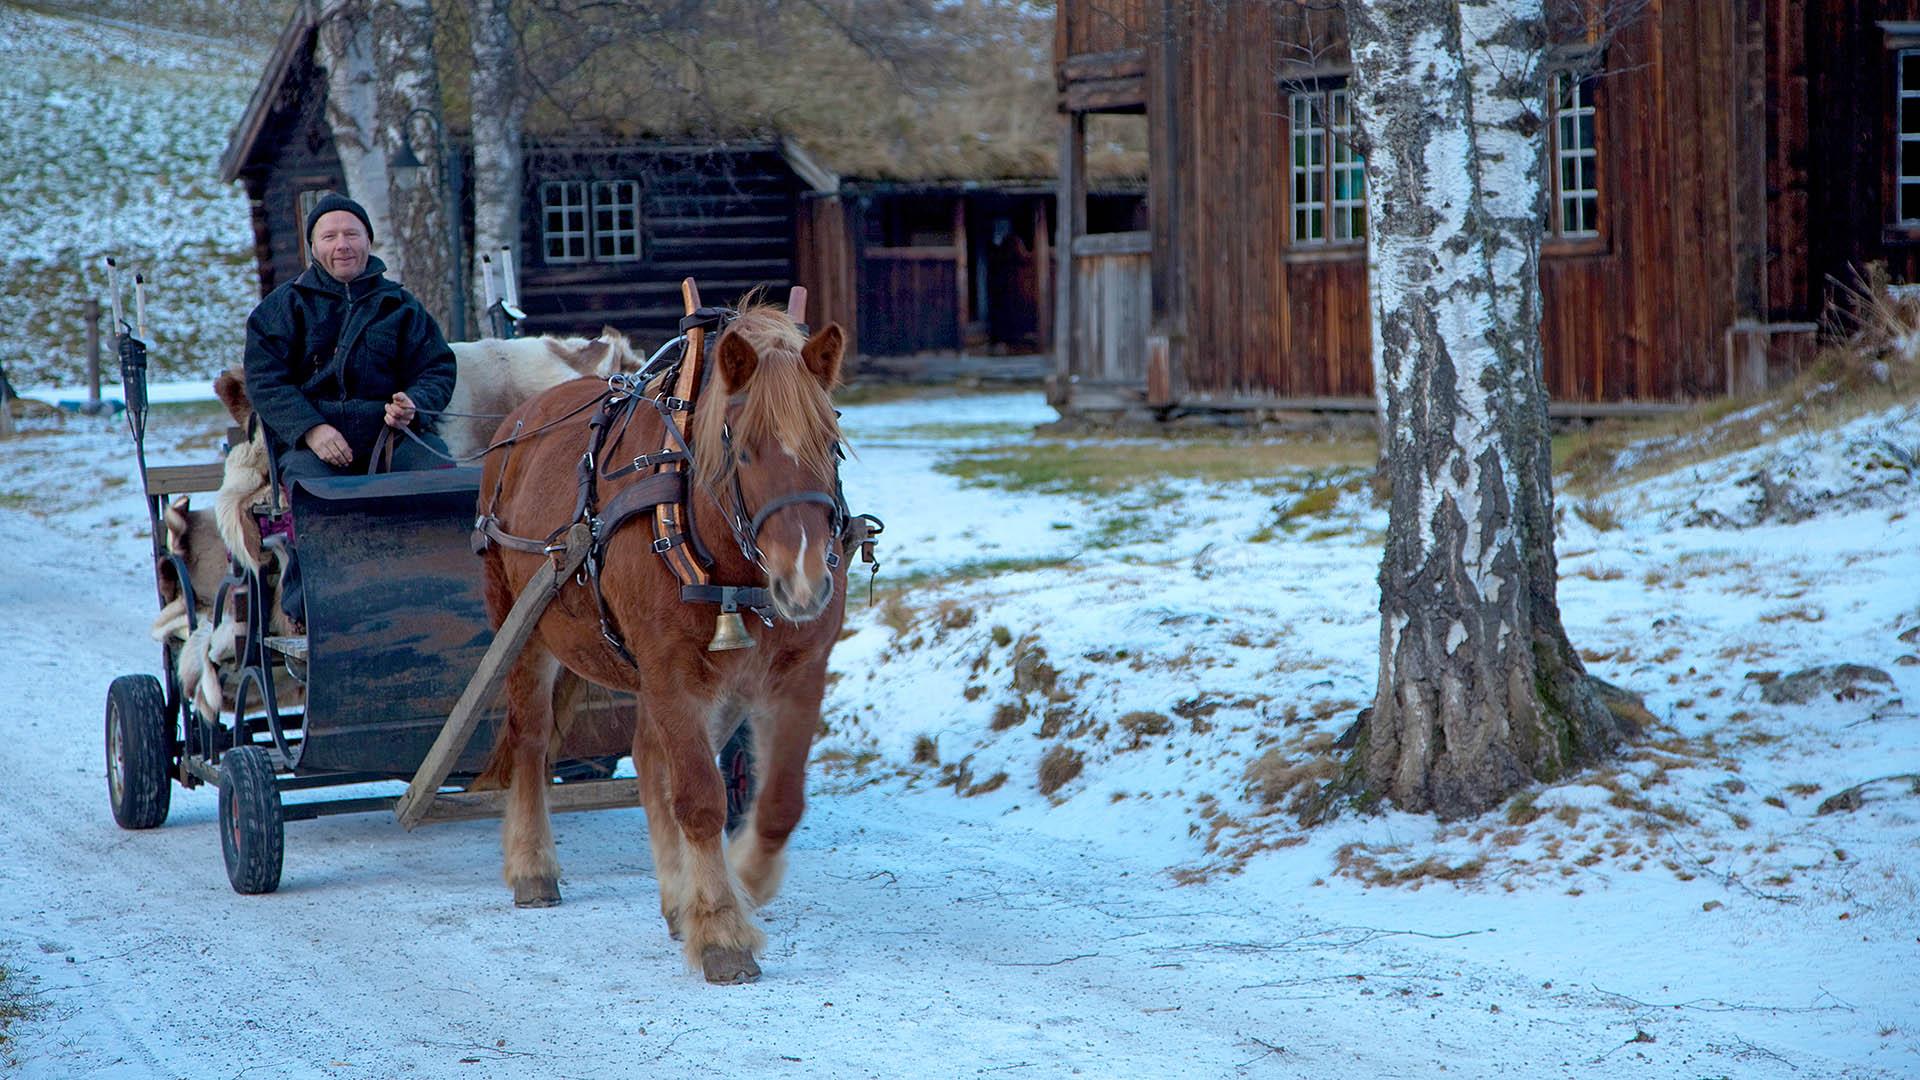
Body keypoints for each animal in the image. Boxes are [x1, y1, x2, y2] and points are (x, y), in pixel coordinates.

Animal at [472, 297, 848, 980]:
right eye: (742, 451)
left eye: (830, 445)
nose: (806, 581)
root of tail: (522, 416)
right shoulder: (670, 670)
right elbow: (699, 800)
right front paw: (722, 928)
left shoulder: (799, 671)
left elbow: (779, 803)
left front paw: (744, 881)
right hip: (522, 626)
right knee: (531, 739)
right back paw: (533, 866)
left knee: (649, 757)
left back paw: (679, 898)